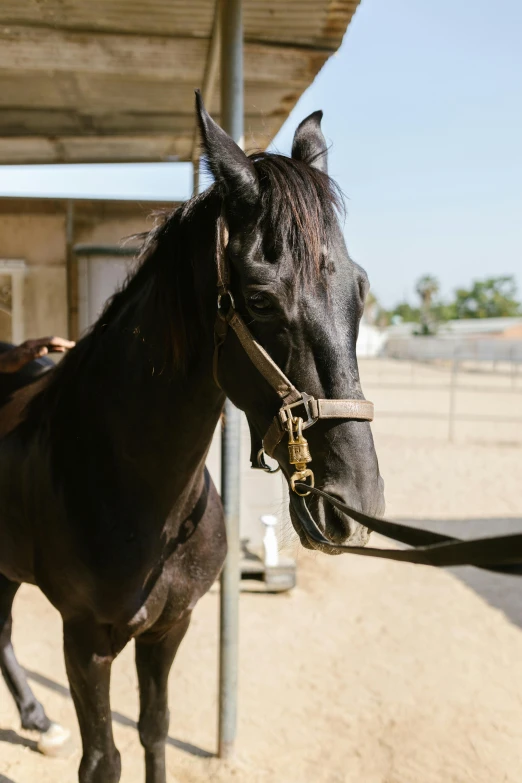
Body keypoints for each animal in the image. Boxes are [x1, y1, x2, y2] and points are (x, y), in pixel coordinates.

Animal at [0, 98, 382, 783]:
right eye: (259, 299)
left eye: (358, 289)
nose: (354, 505)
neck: (136, 497)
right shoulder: (86, 642)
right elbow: (104, 759)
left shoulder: (169, 628)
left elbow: (155, 730)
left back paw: (38, 720)